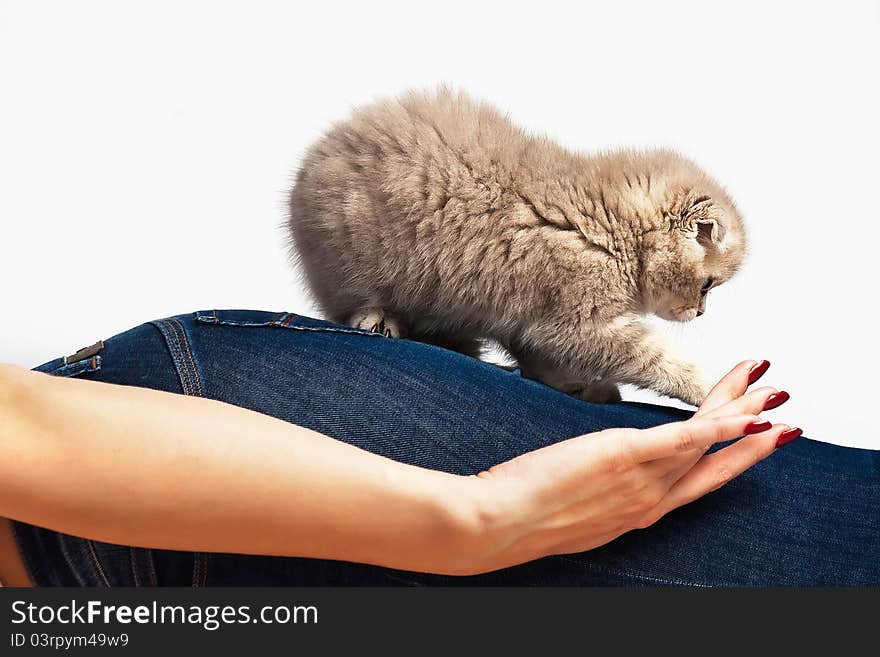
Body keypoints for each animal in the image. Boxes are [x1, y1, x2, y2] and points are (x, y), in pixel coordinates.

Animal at [288, 87, 744, 404]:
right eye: (707, 286)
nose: (700, 313)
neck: (613, 233)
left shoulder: (533, 317)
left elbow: (542, 357)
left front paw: (581, 387)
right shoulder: (577, 319)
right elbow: (652, 356)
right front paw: (707, 386)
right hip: (354, 258)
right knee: (349, 302)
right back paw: (378, 318)